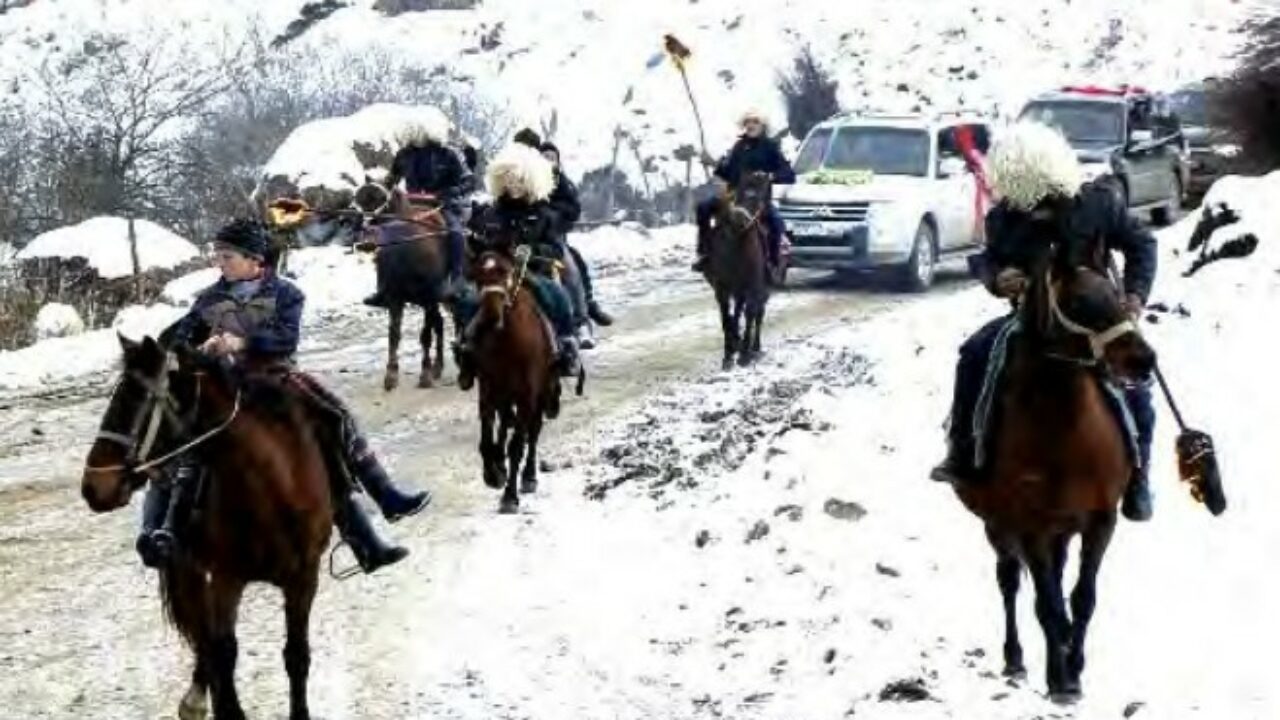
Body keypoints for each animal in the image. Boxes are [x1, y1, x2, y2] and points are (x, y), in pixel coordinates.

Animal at [80, 335, 335, 717]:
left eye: (134, 401)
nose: (93, 487)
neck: (271, 488)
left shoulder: (304, 577)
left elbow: (296, 655)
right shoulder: (225, 579)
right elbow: (223, 653)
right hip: (190, 569)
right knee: (204, 637)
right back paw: (197, 697)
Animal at [355, 181, 455, 389]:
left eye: (382, 201)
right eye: (358, 202)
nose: (365, 243)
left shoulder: (429, 299)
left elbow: (425, 336)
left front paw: (425, 374)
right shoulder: (395, 298)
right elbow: (394, 334)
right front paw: (391, 374)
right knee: (439, 323)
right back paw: (438, 367)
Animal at [468, 249, 563, 512]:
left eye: (505, 272)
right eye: (477, 274)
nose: (491, 316)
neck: (507, 343)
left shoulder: (527, 396)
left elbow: (518, 444)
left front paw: (510, 496)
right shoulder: (488, 391)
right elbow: (486, 439)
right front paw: (493, 474)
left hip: (541, 393)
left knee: (533, 431)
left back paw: (529, 476)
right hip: (505, 395)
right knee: (504, 425)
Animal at [701, 170, 768, 366]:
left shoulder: (747, 286)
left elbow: (744, 313)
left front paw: (742, 349)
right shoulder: (724, 287)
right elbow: (729, 316)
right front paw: (733, 351)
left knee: (751, 311)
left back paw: (747, 346)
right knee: (745, 312)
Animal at [952, 235, 1162, 702]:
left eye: (1117, 293)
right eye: (1080, 301)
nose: (1143, 359)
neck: (1063, 433)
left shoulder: (1100, 520)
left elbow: (1083, 598)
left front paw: (1075, 667)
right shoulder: (1029, 524)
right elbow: (1046, 604)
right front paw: (1059, 677)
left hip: (1063, 529)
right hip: (999, 525)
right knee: (1010, 580)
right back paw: (1015, 659)